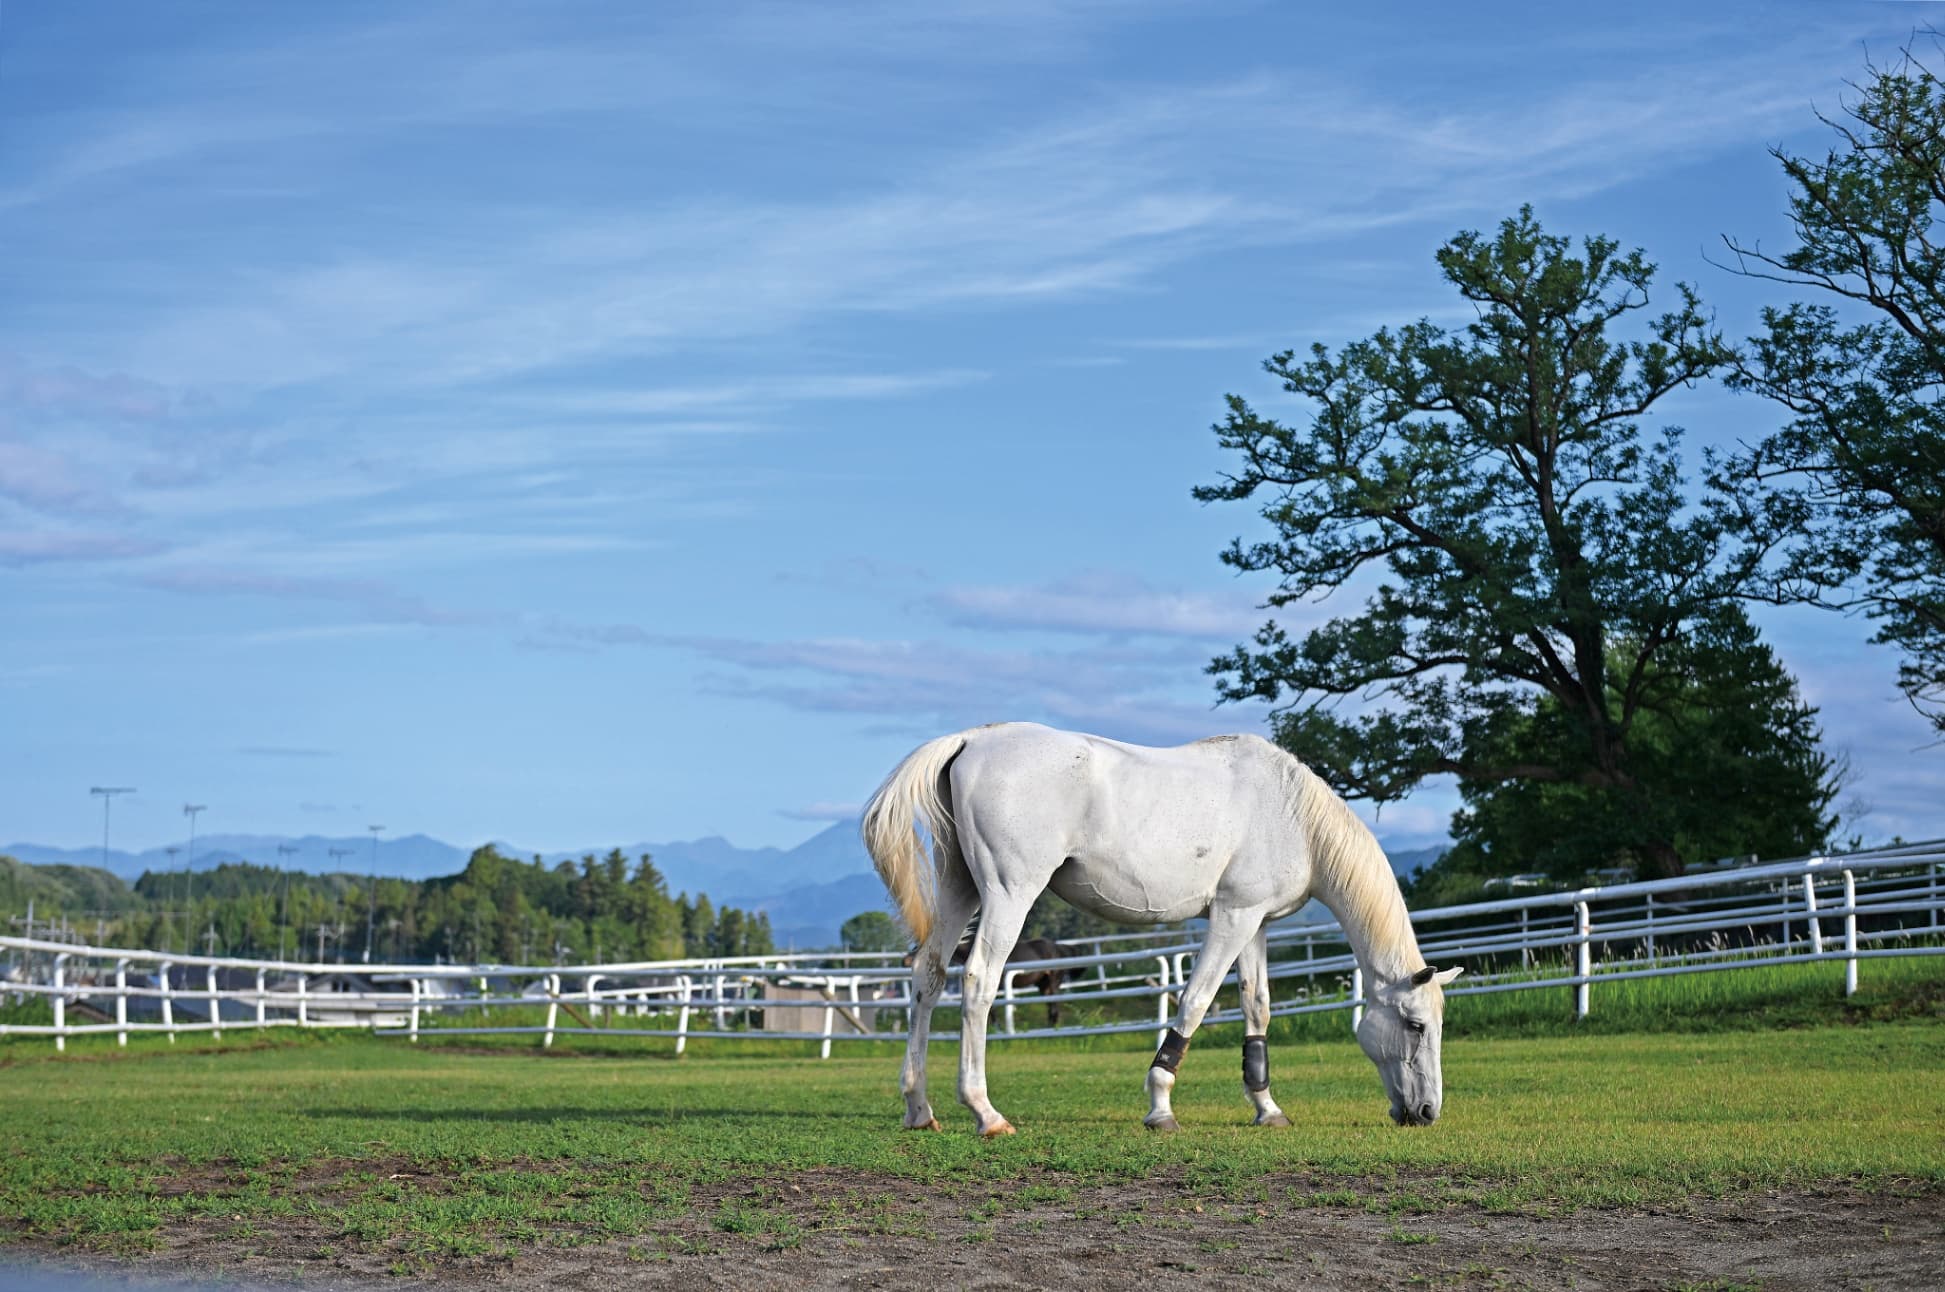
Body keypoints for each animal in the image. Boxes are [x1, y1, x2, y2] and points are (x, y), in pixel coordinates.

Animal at [862, 722, 1462, 1137]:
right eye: (1415, 1026)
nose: (1427, 1111)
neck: (1291, 813)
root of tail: (972, 740)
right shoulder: (1231, 919)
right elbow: (1194, 1003)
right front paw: (1160, 1106)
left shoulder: (1255, 923)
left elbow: (1257, 1007)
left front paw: (1266, 1107)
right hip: (1009, 894)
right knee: (979, 982)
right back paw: (985, 1112)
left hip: (959, 889)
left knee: (928, 977)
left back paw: (918, 1108)